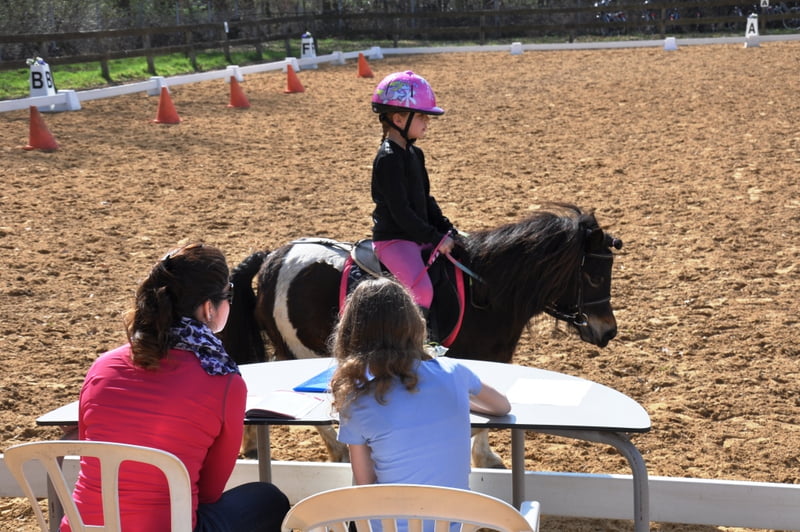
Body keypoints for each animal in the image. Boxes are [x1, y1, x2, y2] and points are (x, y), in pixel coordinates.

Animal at [222, 203, 620, 466]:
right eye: (594, 276)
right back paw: (338, 451)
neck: (485, 291)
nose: (608, 330)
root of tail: (274, 258)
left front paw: (485, 456)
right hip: (301, 352)